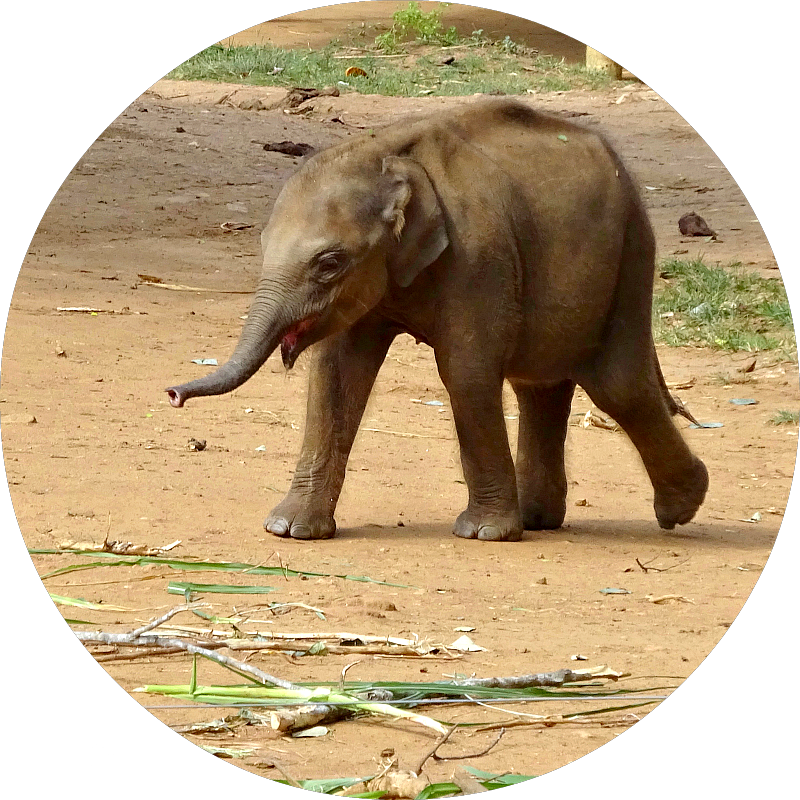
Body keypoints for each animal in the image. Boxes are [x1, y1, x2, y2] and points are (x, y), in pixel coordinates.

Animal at [167, 99, 708, 541]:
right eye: (262, 245)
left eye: (330, 263)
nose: (172, 394)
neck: (387, 155)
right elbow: (336, 376)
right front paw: (290, 530)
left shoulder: (479, 255)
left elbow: (465, 372)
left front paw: (485, 533)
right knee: (541, 383)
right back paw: (539, 519)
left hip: (632, 252)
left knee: (618, 385)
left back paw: (680, 508)